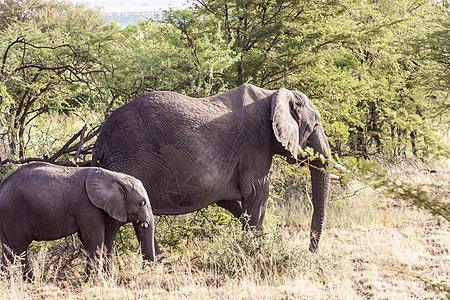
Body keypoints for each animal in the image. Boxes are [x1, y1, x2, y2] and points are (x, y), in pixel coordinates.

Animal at [0, 163, 155, 280]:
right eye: (141, 203)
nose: (145, 271)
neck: (115, 176)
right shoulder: (88, 205)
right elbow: (93, 237)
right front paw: (90, 281)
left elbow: (87, 238)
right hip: (14, 212)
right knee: (19, 247)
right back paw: (30, 281)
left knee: (7, 249)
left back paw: (8, 281)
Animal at [92, 84, 330, 255]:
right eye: (316, 125)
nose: (311, 251)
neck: (272, 95)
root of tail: (100, 140)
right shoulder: (255, 145)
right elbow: (257, 193)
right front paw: (256, 253)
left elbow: (232, 202)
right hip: (129, 162)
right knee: (115, 220)